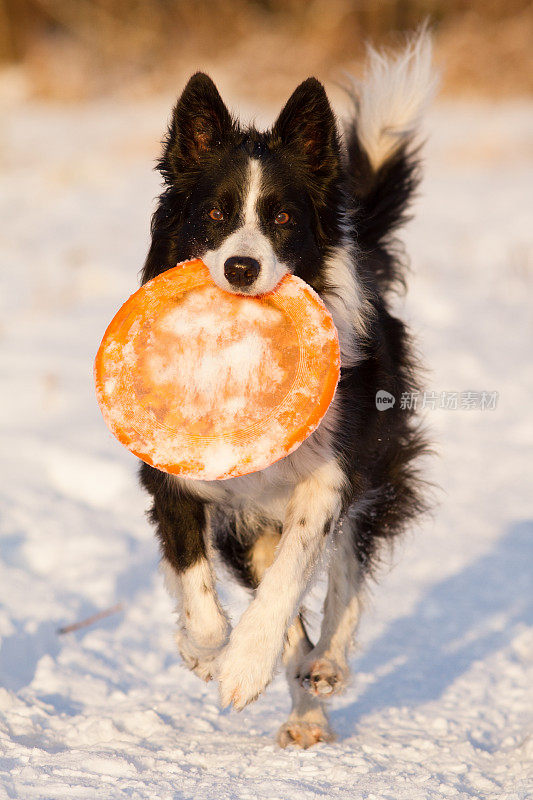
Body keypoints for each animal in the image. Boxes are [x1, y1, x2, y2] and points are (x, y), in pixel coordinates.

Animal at [140, 34, 432, 748]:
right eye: (215, 214)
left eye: (281, 217)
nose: (242, 267)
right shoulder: (175, 478)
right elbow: (194, 580)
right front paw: (203, 650)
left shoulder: (328, 478)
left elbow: (295, 576)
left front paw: (244, 667)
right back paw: (302, 707)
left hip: (376, 464)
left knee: (344, 573)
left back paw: (324, 672)